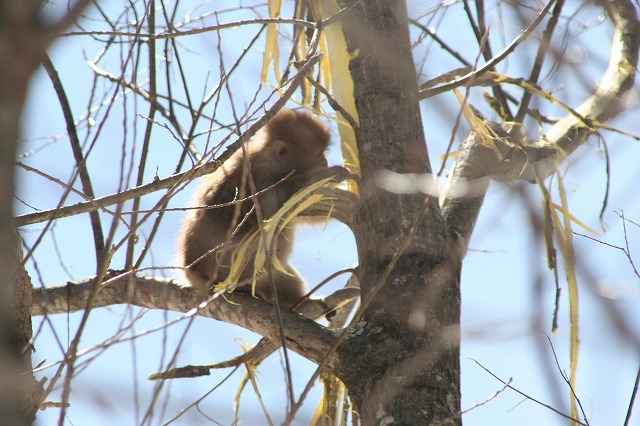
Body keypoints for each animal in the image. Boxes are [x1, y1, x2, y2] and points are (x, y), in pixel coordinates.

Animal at [178, 108, 350, 312]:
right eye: (318, 154)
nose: (324, 162)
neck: (273, 162)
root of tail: (193, 270)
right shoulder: (262, 179)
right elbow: (277, 204)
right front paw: (332, 174)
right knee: (272, 240)